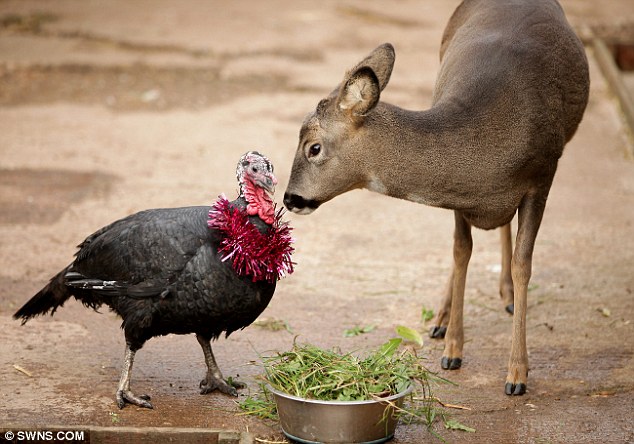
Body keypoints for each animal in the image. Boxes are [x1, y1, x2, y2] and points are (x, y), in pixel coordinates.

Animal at [282, 0, 588, 396]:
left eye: (314, 147)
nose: (290, 198)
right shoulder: (461, 197)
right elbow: (461, 252)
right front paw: (453, 349)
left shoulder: (543, 175)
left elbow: (523, 264)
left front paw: (517, 374)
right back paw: (443, 318)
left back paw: (504, 296)